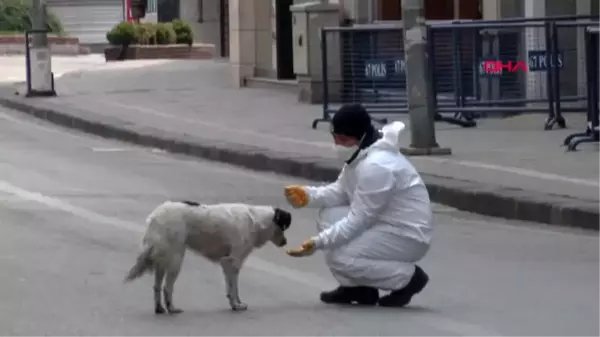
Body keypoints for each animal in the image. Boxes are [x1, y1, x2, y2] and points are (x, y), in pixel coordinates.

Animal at [123, 200, 292, 312]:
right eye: (283, 226)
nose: (285, 242)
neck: (256, 220)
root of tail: (155, 216)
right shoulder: (232, 261)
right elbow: (234, 287)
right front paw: (236, 305)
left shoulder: (228, 263)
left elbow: (231, 287)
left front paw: (234, 303)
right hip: (176, 258)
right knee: (167, 287)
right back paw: (172, 308)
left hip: (163, 259)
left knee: (157, 286)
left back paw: (159, 308)